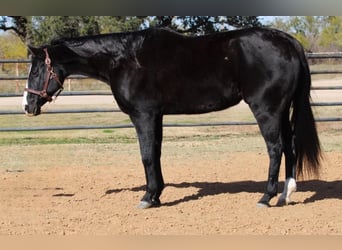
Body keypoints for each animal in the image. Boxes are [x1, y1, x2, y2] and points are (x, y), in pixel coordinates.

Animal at [23, 26, 320, 208]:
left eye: (36, 70)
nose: (27, 105)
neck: (125, 59)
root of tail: (289, 42)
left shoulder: (143, 115)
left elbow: (146, 155)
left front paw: (147, 197)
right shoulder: (156, 116)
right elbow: (156, 153)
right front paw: (156, 195)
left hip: (267, 110)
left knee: (276, 149)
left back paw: (266, 197)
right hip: (282, 110)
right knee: (290, 147)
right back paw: (286, 194)